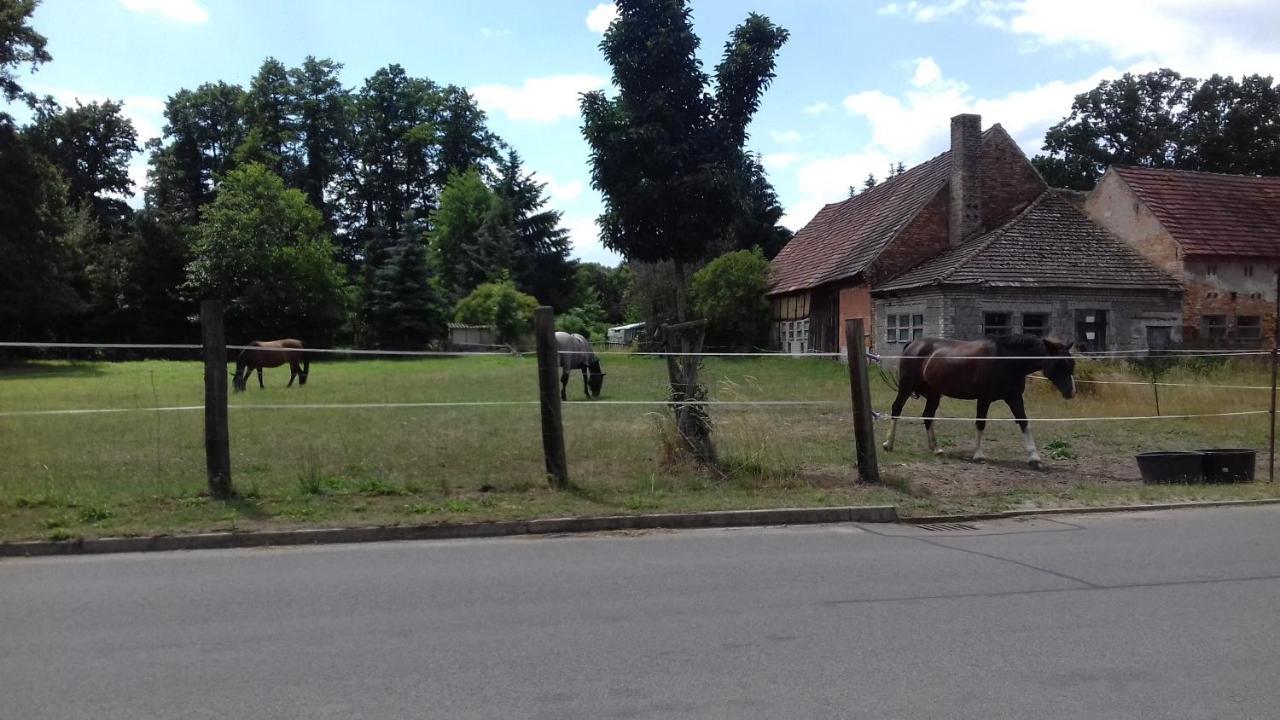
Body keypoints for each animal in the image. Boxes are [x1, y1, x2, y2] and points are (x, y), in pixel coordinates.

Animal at [880, 335, 1080, 468]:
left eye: (1072, 364)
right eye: (1059, 363)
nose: (1071, 392)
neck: (1006, 359)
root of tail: (913, 343)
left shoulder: (1014, 398)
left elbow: (1024, 423)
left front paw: (1034, 458)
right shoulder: (984, 399)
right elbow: (980, 424)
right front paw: (978, 455)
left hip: (934, 393)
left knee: (928, 416)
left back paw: (936, 449)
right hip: (906, 388)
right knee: (897, 409)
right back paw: (888, 444)